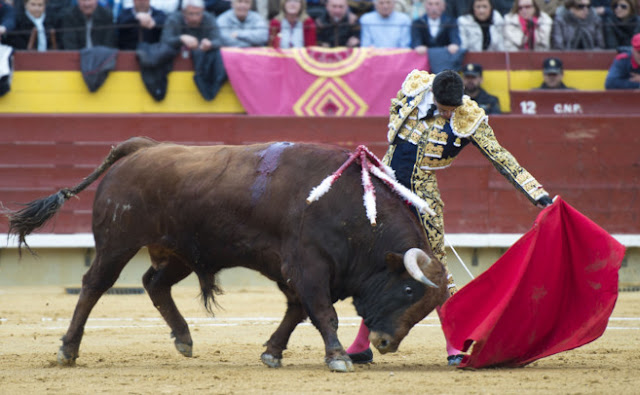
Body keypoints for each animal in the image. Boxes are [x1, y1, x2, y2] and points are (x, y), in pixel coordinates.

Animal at [5, 138, 448, 372]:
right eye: (409, 291)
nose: (386, 343)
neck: (351, 207)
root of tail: (141, 148)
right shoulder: (307, 266)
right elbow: (323, 313)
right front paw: (338, 357)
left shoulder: (300, 273)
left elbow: (296, 312)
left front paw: (271, 352)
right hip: (116, 244)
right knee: (94, 286)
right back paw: (68, 349)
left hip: (178, 253)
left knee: (153, 283)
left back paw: (184, 339)